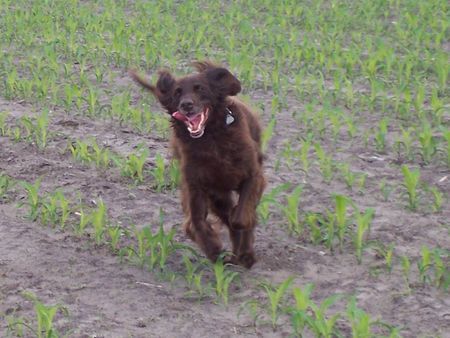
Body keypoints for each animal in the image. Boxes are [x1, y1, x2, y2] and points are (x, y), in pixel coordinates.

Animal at [128, 60, 266, 266]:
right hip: (217, 197)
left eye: (199, 88)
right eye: (177, 92)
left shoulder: (253, 176)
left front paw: (242, 245)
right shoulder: (197, 187)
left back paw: (245, 255)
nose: (186, 105)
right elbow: (196, 223)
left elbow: (241, 218)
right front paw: (213, 249)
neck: (211, 141)